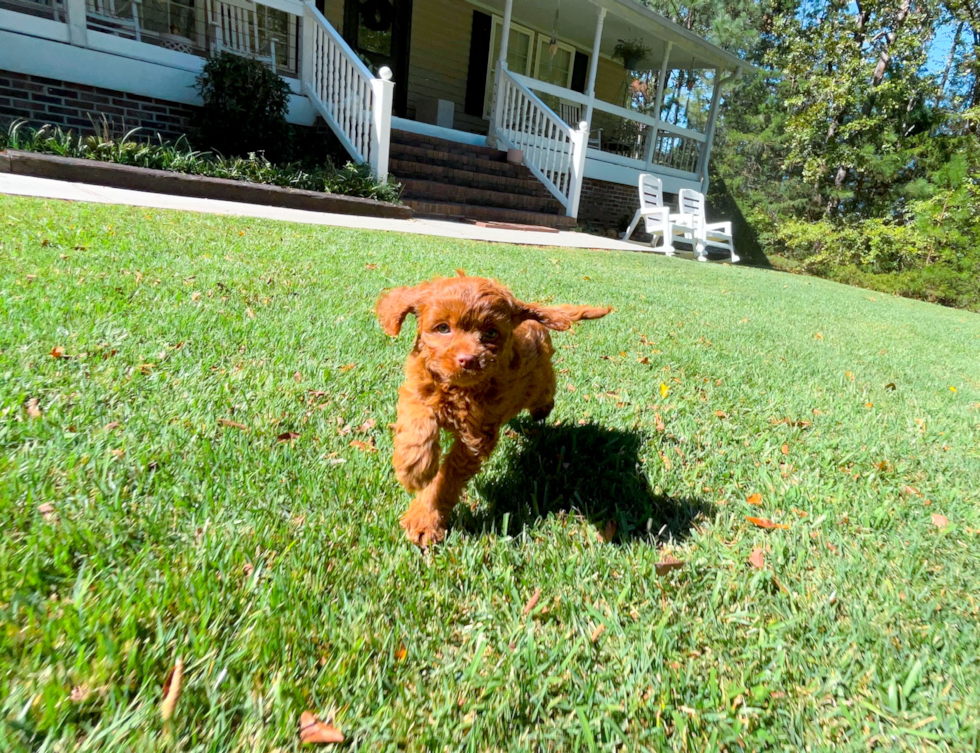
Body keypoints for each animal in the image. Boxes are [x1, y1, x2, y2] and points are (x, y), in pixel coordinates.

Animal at [378, 274, 612, 544]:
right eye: (443, 328)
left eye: (490, 333)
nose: (468, 360)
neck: (458, 390)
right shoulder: (417, 389)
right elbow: (416, 422)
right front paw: (414, 465)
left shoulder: (475, 438)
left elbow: (447, 478)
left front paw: (424, 517)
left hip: (538, 383)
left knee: (546, 392)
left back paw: (542, 410)